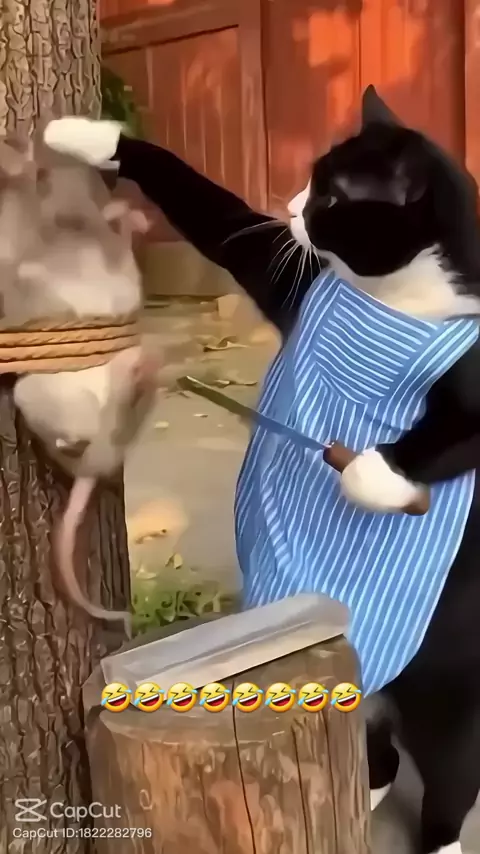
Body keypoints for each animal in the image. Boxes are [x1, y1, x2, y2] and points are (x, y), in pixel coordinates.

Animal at [44, 85, 480, 854]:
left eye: (333, 195)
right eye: (314, 181)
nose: (292, 205)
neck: (400, 301)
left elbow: (449, 434)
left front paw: (366, 476)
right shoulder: (296, 282)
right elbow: (218, 215)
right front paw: (87, 137)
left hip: (449, 675)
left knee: (452, 761)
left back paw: (442, 837)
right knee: (380, 730)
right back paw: (366, 784)